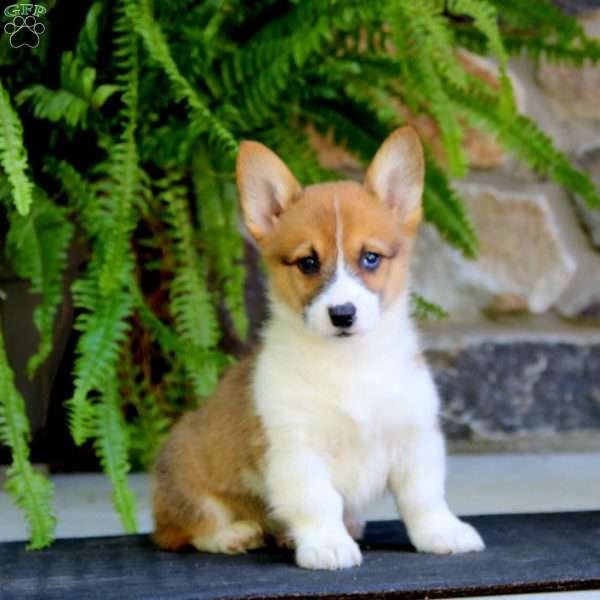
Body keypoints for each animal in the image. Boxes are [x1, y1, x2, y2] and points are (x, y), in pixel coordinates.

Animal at [152, 125, 486, 568]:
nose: (342, 314)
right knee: (190, 526)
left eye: (371, 258)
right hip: (187, 475)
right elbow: (317, 502)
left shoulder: (414, 437)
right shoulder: (297, 449)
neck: (350, 363)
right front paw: (327, 545)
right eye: (307, 263)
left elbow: (424, 497)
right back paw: (235, 534)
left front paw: (442, 533)